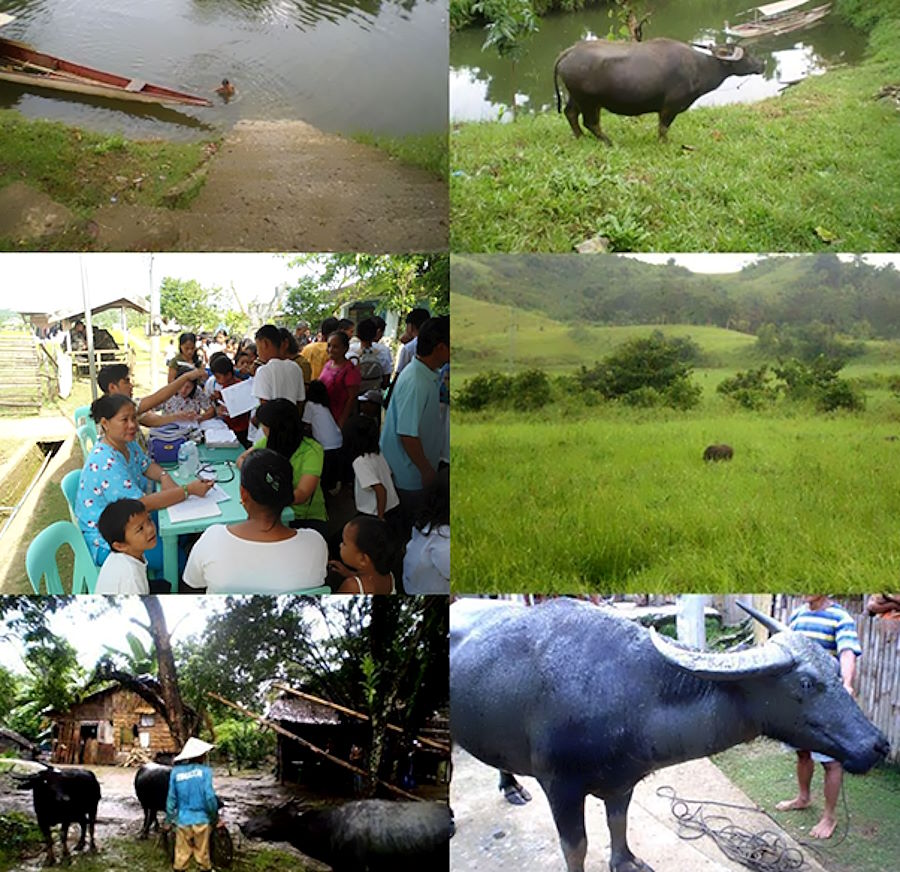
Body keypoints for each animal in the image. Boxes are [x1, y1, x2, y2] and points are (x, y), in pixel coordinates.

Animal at [454, 600, 888, 872]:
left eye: (837, 668)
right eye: (806, 682)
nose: (878, 745)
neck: (627, 694)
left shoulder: (623, 780)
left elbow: (618, 821)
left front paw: (626, 862)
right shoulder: (560, 787)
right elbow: (576, 848)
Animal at [552, 37, 764, 143]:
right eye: (746, 56)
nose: (762, 64)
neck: (700, 67)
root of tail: (568, 52)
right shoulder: (670, 107)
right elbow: (663, 127)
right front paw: (664, 143)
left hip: (575, 97)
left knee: (570, 113)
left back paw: (580, 137)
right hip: (589, 101)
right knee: (591, 122)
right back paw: (608, 142)